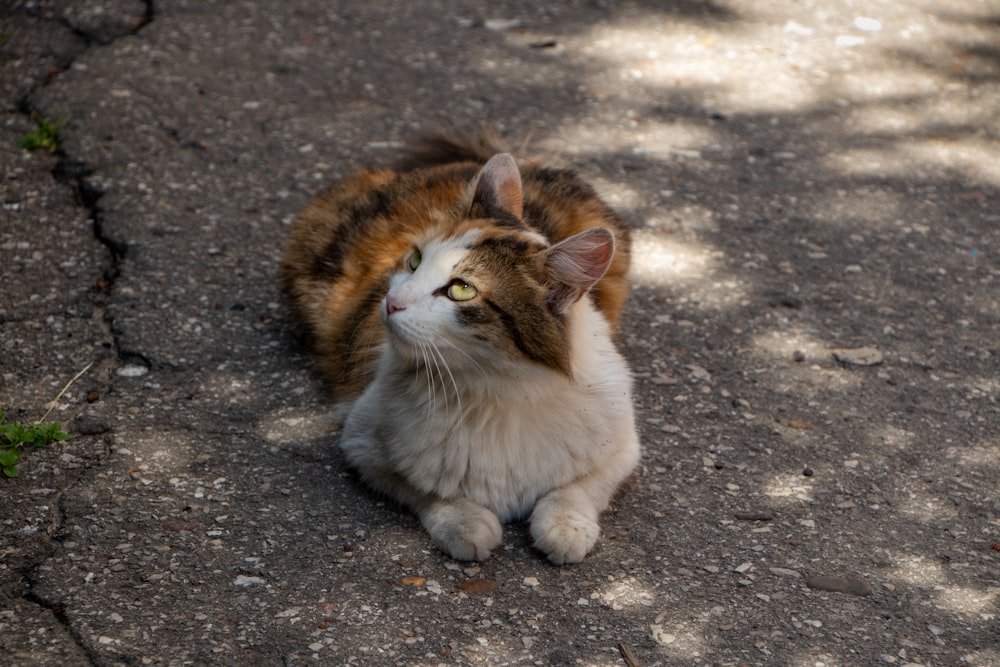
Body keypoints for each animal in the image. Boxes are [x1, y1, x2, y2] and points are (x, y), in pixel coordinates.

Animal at [282, 136, 640, 564]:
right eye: (415, 260)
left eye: (461, 290)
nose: (391, 303)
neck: (499, 390)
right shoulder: (361, 442)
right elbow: (427, 491)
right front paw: (466, 523)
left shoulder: (623, 446)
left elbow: (577, 490)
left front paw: (566, 528)